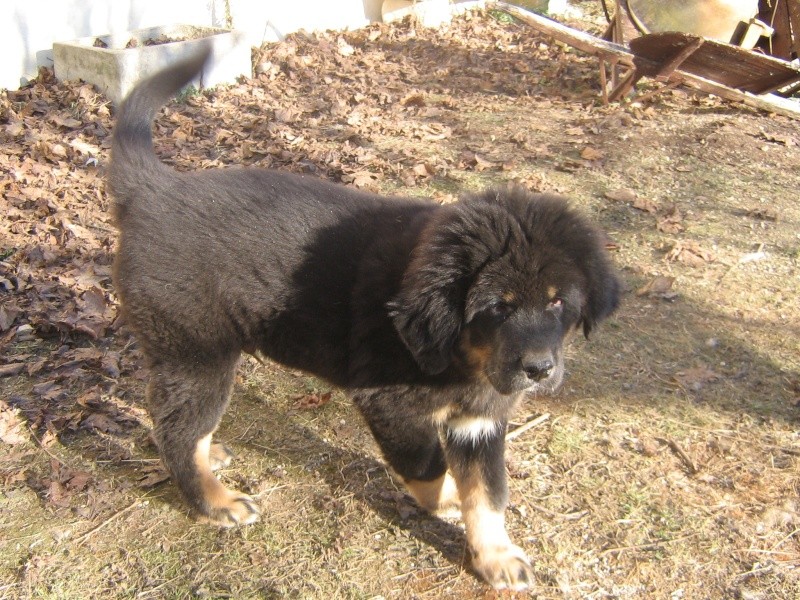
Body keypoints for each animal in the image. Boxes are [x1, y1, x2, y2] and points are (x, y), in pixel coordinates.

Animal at [108, 48, 620, 592]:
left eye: (558, 304)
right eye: (498, 307)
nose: (540, 370)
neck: (459, 354)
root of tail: (152, 190)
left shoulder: (479, 422)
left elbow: (488, 492)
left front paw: (495, 555)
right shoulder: (391, 404)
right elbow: (429, 466)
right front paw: (445, 500)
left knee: (175, 421)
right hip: (197, 351)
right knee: (179, 431)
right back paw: (216, 501)